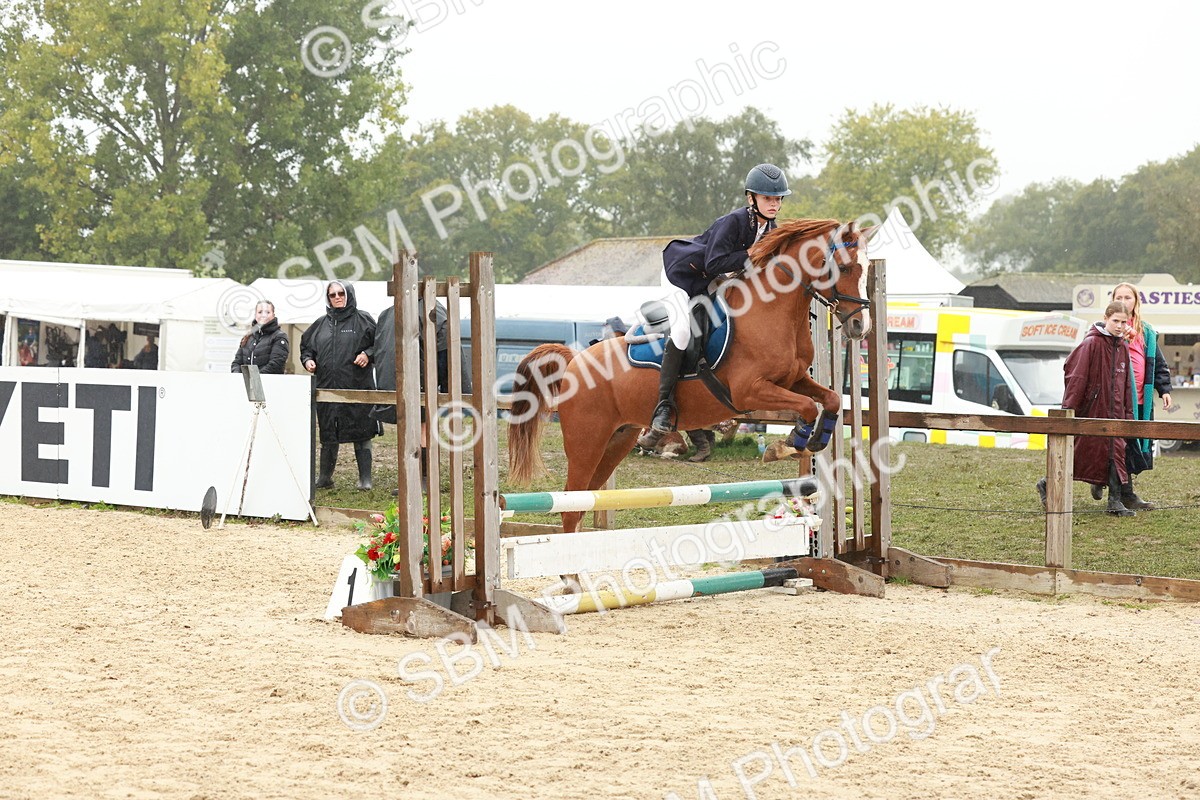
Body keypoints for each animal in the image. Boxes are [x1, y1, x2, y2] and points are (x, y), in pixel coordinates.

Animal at [507, 218, 872, 535]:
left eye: (867, 268)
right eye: (844, 267)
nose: (859, 326)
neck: (771, 312)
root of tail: (576, 361)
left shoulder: (793, 381)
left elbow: (830, 398)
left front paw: (816, 439)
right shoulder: (749, 391)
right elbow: (807, 407)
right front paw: (788, 445)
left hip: (617, 439)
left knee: (585, 500)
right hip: (586, 441)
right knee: (570, 504)